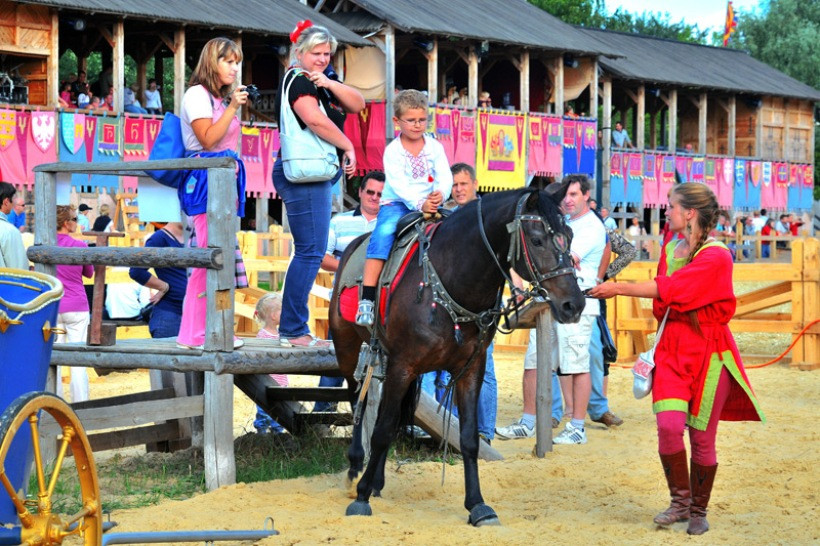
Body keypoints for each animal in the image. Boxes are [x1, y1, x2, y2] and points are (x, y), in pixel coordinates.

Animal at [326, 183, 584, 524]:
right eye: (538, 239)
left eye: (569, 235)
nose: (574, 304)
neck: (450, 282)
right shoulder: (402, 365)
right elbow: (381, 430)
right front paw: (361, 496)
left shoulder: (469, 369)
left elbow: (468, 438)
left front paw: (477, 505)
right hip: (348, 348)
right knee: (359, 398)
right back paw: (356, 467)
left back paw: (377, 479)